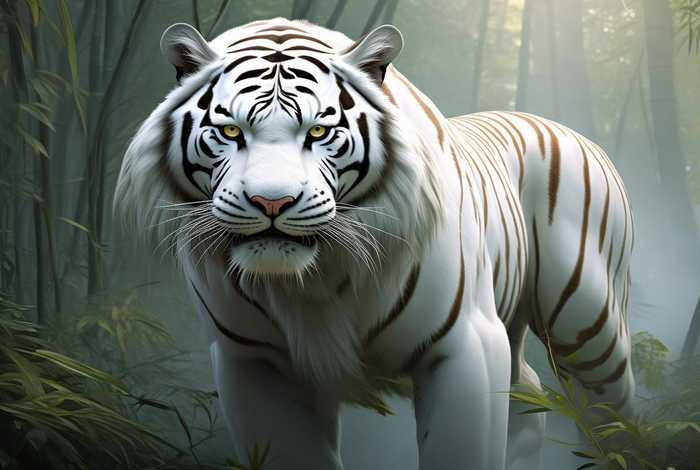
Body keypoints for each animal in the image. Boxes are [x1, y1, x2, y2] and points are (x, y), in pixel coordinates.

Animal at [114, 17, 635, 470]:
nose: (271, 202)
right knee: (528, 391)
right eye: (230, 131)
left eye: (318, 131)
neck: (312, 281)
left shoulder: (466, 343)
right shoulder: (253, 360)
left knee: (615, 417)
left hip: (588, 327)